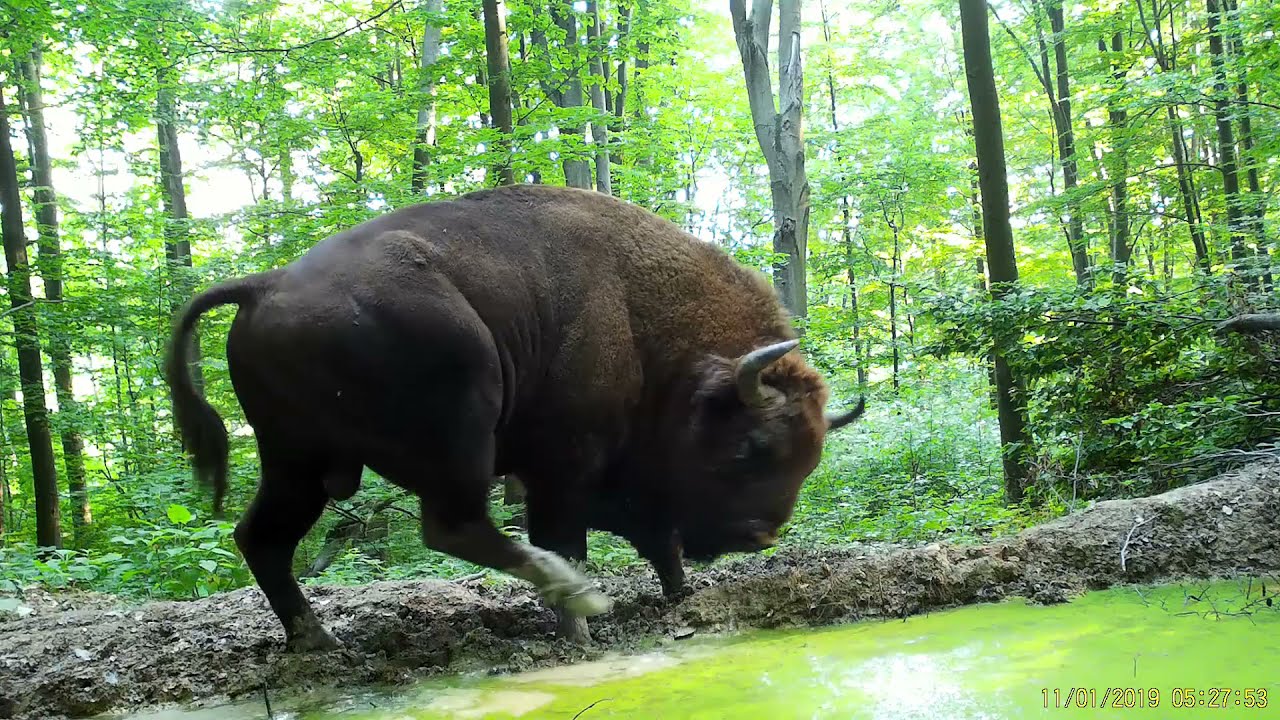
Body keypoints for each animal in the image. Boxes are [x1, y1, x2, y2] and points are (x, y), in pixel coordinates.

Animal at [166, 184, 864, 651]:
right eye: (750, 447)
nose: (761, 536)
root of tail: (266, 283)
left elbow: (655, 538)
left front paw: (677, 594)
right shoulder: (564, 467)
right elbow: (569, 537)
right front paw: (580, 627)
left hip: (300, 462)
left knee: (263, 537)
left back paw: (318, 640)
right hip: (458, 422)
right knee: (452, 527)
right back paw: (571, 593)